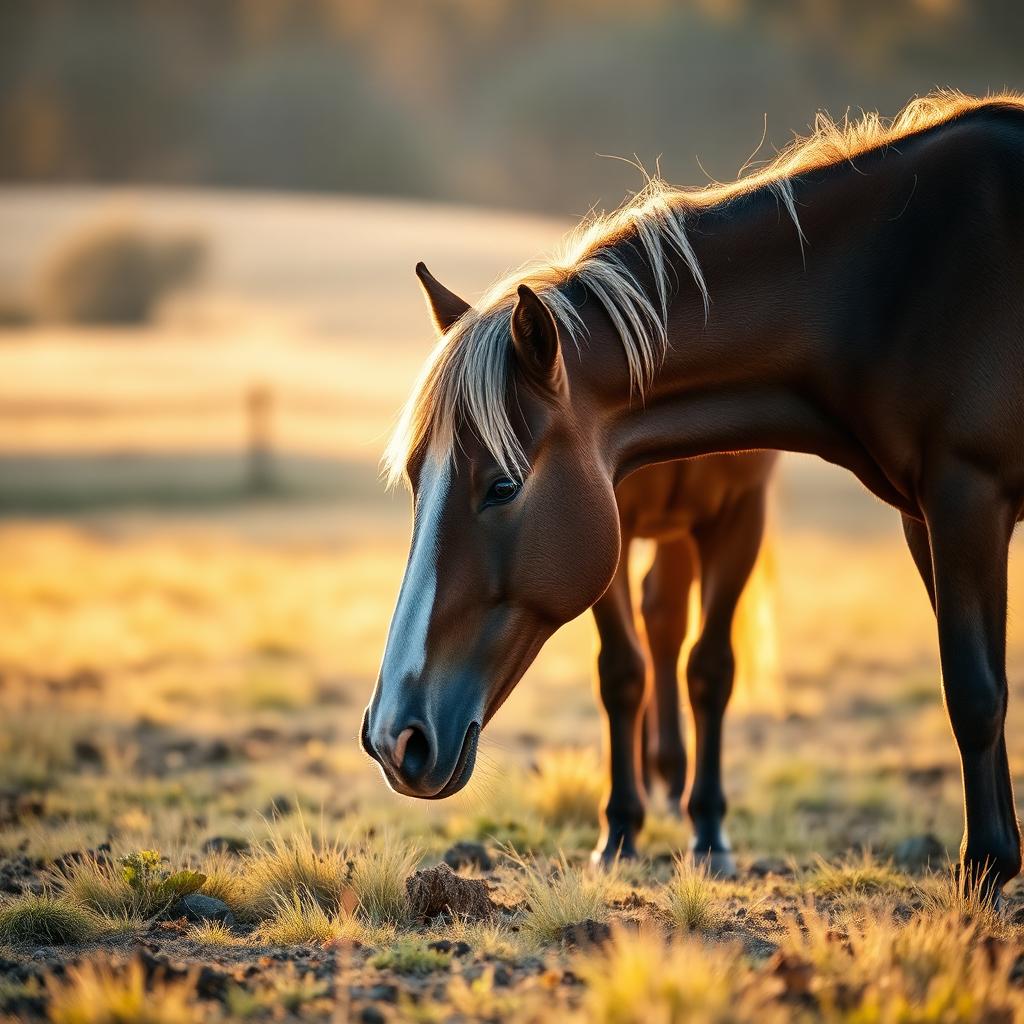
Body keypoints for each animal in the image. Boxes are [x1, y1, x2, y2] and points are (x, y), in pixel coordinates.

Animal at [597, 452, 777, 868]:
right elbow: (623, 670)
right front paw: (619, 830)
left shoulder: (741, 510)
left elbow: (710, 668)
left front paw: (709, 833)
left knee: (663, 616)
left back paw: (672, 778)